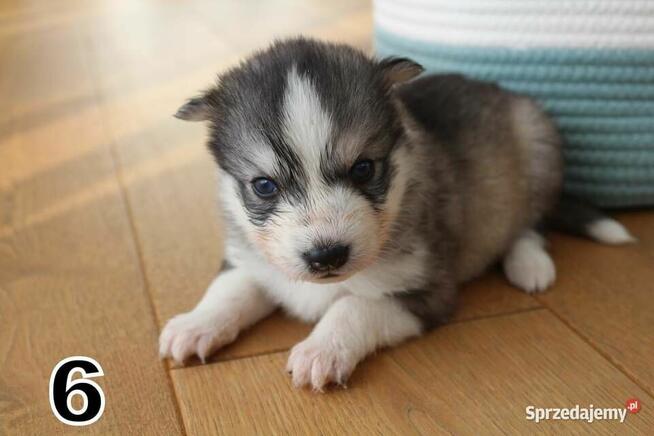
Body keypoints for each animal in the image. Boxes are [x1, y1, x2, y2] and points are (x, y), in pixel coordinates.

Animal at [159, 38, 636, 392]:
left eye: (363, 169)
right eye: (263, 185)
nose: (326, 256)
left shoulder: (426, 292)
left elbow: (354, 305)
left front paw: (321, 350)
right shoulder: (252, 260)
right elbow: (229, 289)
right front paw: (195, 325)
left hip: (537, 147)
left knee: (531, 224)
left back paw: (530, 265)